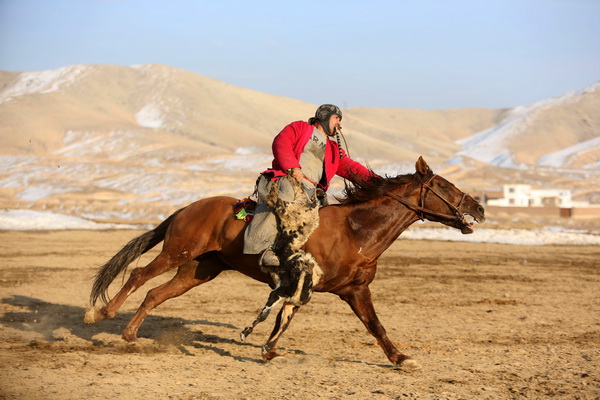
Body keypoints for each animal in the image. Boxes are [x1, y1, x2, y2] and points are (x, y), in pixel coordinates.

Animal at [84, 157, 486, 372]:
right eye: (445, 187)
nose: (479, 207)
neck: (356, 230)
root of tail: (187, 208)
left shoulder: (354, 290)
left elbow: (374, 326)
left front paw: (401, 358)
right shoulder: (305, 282)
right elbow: (286, 315)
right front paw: (268, 348)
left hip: (198, 270)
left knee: (155, 293)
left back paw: (130, 336)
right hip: (178, 252)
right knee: (139, 275)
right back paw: (99, 314)